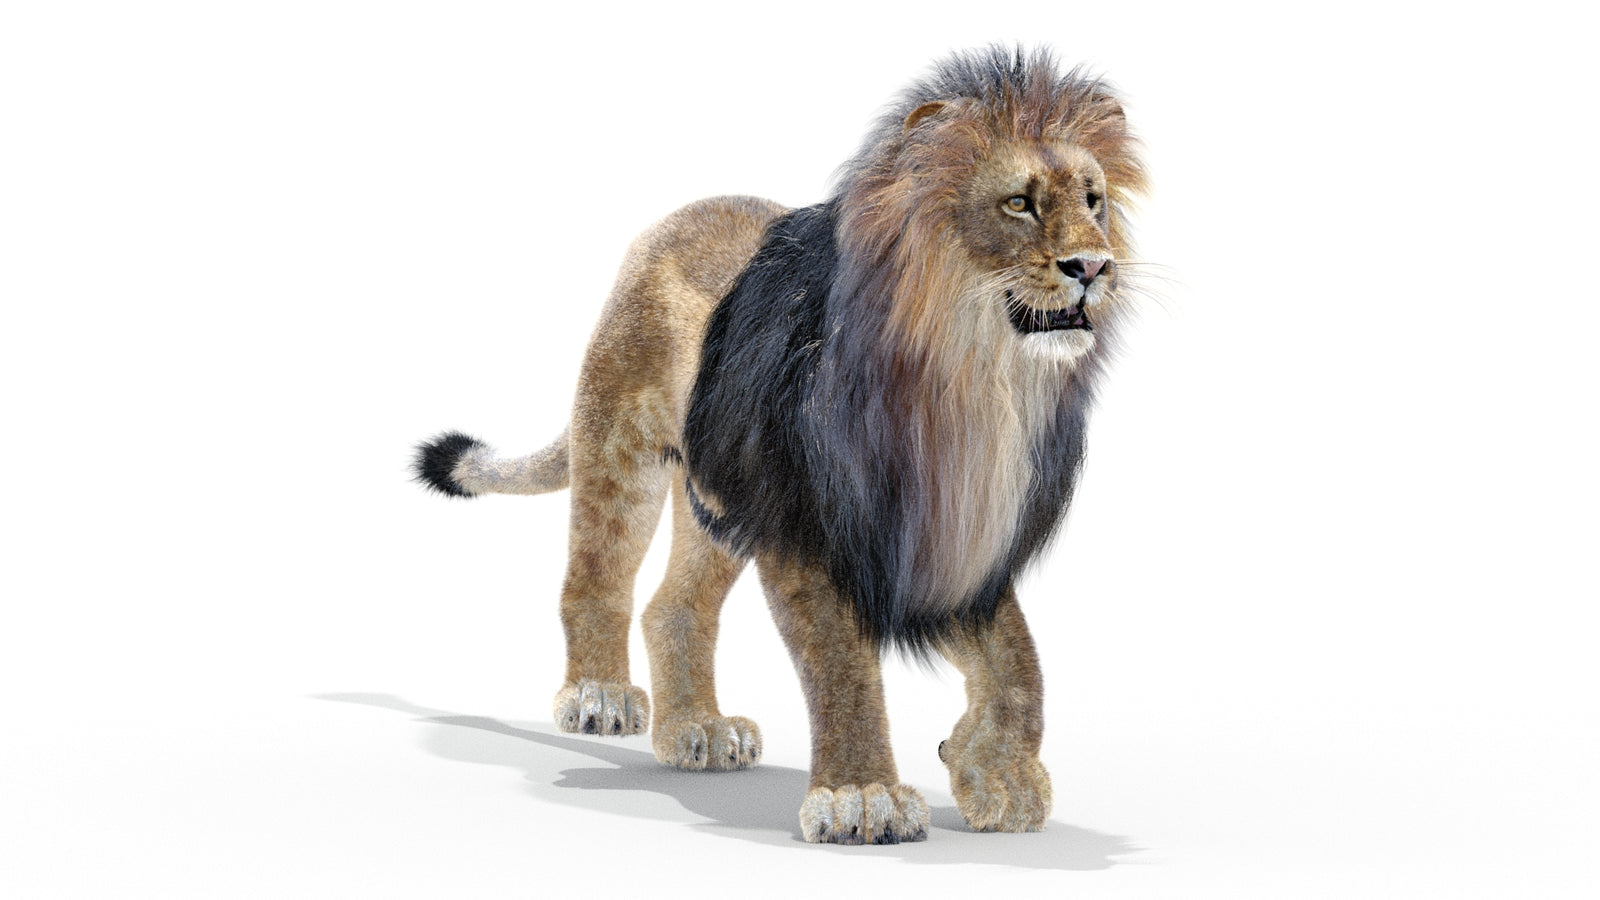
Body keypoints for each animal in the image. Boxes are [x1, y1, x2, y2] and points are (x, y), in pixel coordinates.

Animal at [413, 46, 1148, 844]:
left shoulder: (949, 541)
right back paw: (600, 695)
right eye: (1019, 203)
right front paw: (863, 794)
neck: (974, 384)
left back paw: (698, 731)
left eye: (1094, 201)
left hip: (718, 503)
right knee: (595, 579)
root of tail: (673, 220)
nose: (1093, 266)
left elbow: (1019, 661)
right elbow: (842, 664)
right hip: (623, 449)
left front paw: (995, 775)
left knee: (672, 608)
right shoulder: (809, 525)